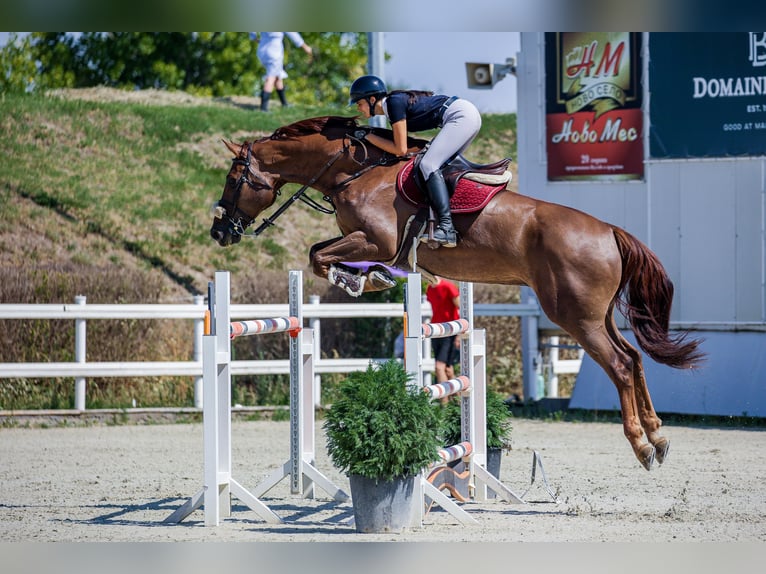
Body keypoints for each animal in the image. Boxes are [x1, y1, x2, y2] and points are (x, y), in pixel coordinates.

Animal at [210, 115, 704, 471]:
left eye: (233, 179)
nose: (220, 232)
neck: (354, 172)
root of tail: (608, 231)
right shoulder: (368, 242)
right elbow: (319, 253)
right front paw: (370, 279)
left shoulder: (377, 241)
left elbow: (319, 256)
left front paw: (361, 279)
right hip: (594, 315)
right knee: (634, 358)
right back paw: (659, 435)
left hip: (576, 318)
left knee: (619, 365)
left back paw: (642, 446)